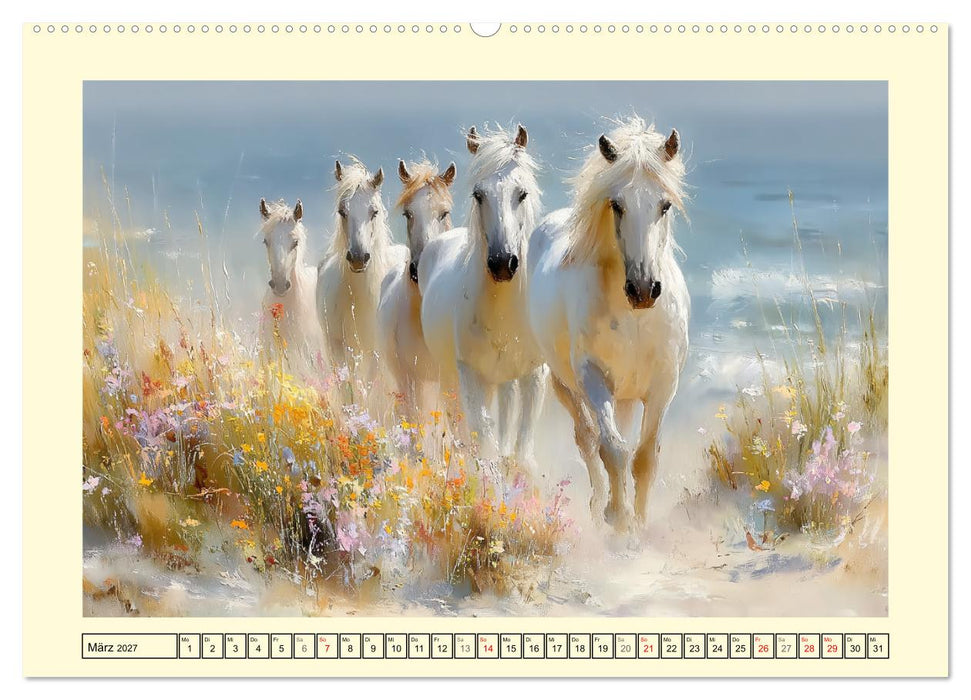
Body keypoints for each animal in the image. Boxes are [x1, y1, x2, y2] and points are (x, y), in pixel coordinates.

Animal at [418, 124, 548, 467]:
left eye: (522, 194)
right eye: (479, 195)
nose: (503, 263)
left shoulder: (533, 375)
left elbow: (521, 447)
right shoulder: (471, 376)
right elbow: (483, 440)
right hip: (454, 377)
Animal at [526, 117, 690, 533]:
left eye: (665, 205)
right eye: (617, 205)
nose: (644, 289)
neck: (635, 319)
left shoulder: (663, 385)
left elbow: (645, 457)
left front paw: (640, 524)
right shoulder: (594, 377)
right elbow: (613, 450)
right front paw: (618, 520)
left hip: (628, 396)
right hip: (566, 384)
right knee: (588, 440)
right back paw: (599, 505)